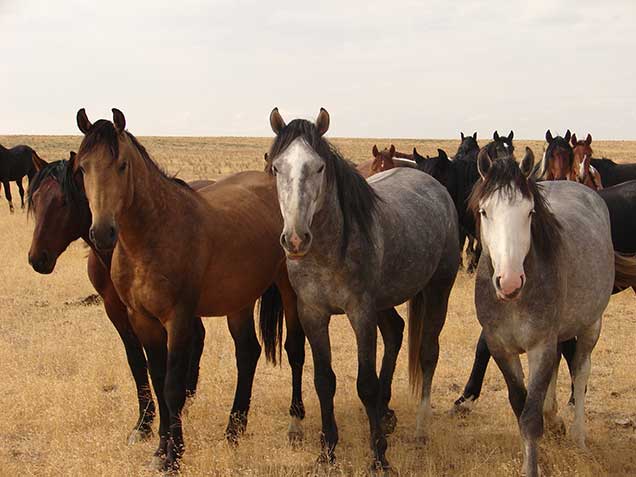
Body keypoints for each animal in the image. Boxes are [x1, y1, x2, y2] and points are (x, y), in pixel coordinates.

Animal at [26, 154, 209, 444]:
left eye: (64, 201)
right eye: (35, 199)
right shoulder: (115, 309)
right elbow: (136, 361)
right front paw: (143, 424)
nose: (37, 258)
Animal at [72, 109, 306, 472]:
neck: (153, 235)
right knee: (247, 352)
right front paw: (159, 450)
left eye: (122, 165)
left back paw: (295, 424)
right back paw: (235, 428)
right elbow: (156, 380)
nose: (102, 233)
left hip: (287, 290)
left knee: (294, 349)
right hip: (238, 300)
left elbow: (172, 388)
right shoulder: (142, 320)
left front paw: (174, 457)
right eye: (83, 168)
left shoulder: (179, 319)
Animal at [266, 109, 460, 472]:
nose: (296, 240)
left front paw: (379, 457)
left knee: (428, 353)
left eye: (319, 167)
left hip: (438, 289)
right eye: (276, 166)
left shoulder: (361, 314)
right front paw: (327, 451)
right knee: (396, 332)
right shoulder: (312, 314)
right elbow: (324, 381)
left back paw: (421, 429)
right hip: (385, 301)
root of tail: (435, 186)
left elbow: (365, 384)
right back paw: (386, 413)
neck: (330, 249)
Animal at [472, 146, 616, 476]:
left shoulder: (540, 345)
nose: (510, 281)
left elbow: (530, 417)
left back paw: (577, 436)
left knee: (580, 371)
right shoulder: (501, 348)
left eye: (529, 212)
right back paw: (555, 420)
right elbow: (520, 404)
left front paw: (532, 466)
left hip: (591, 324)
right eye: (485, 212)